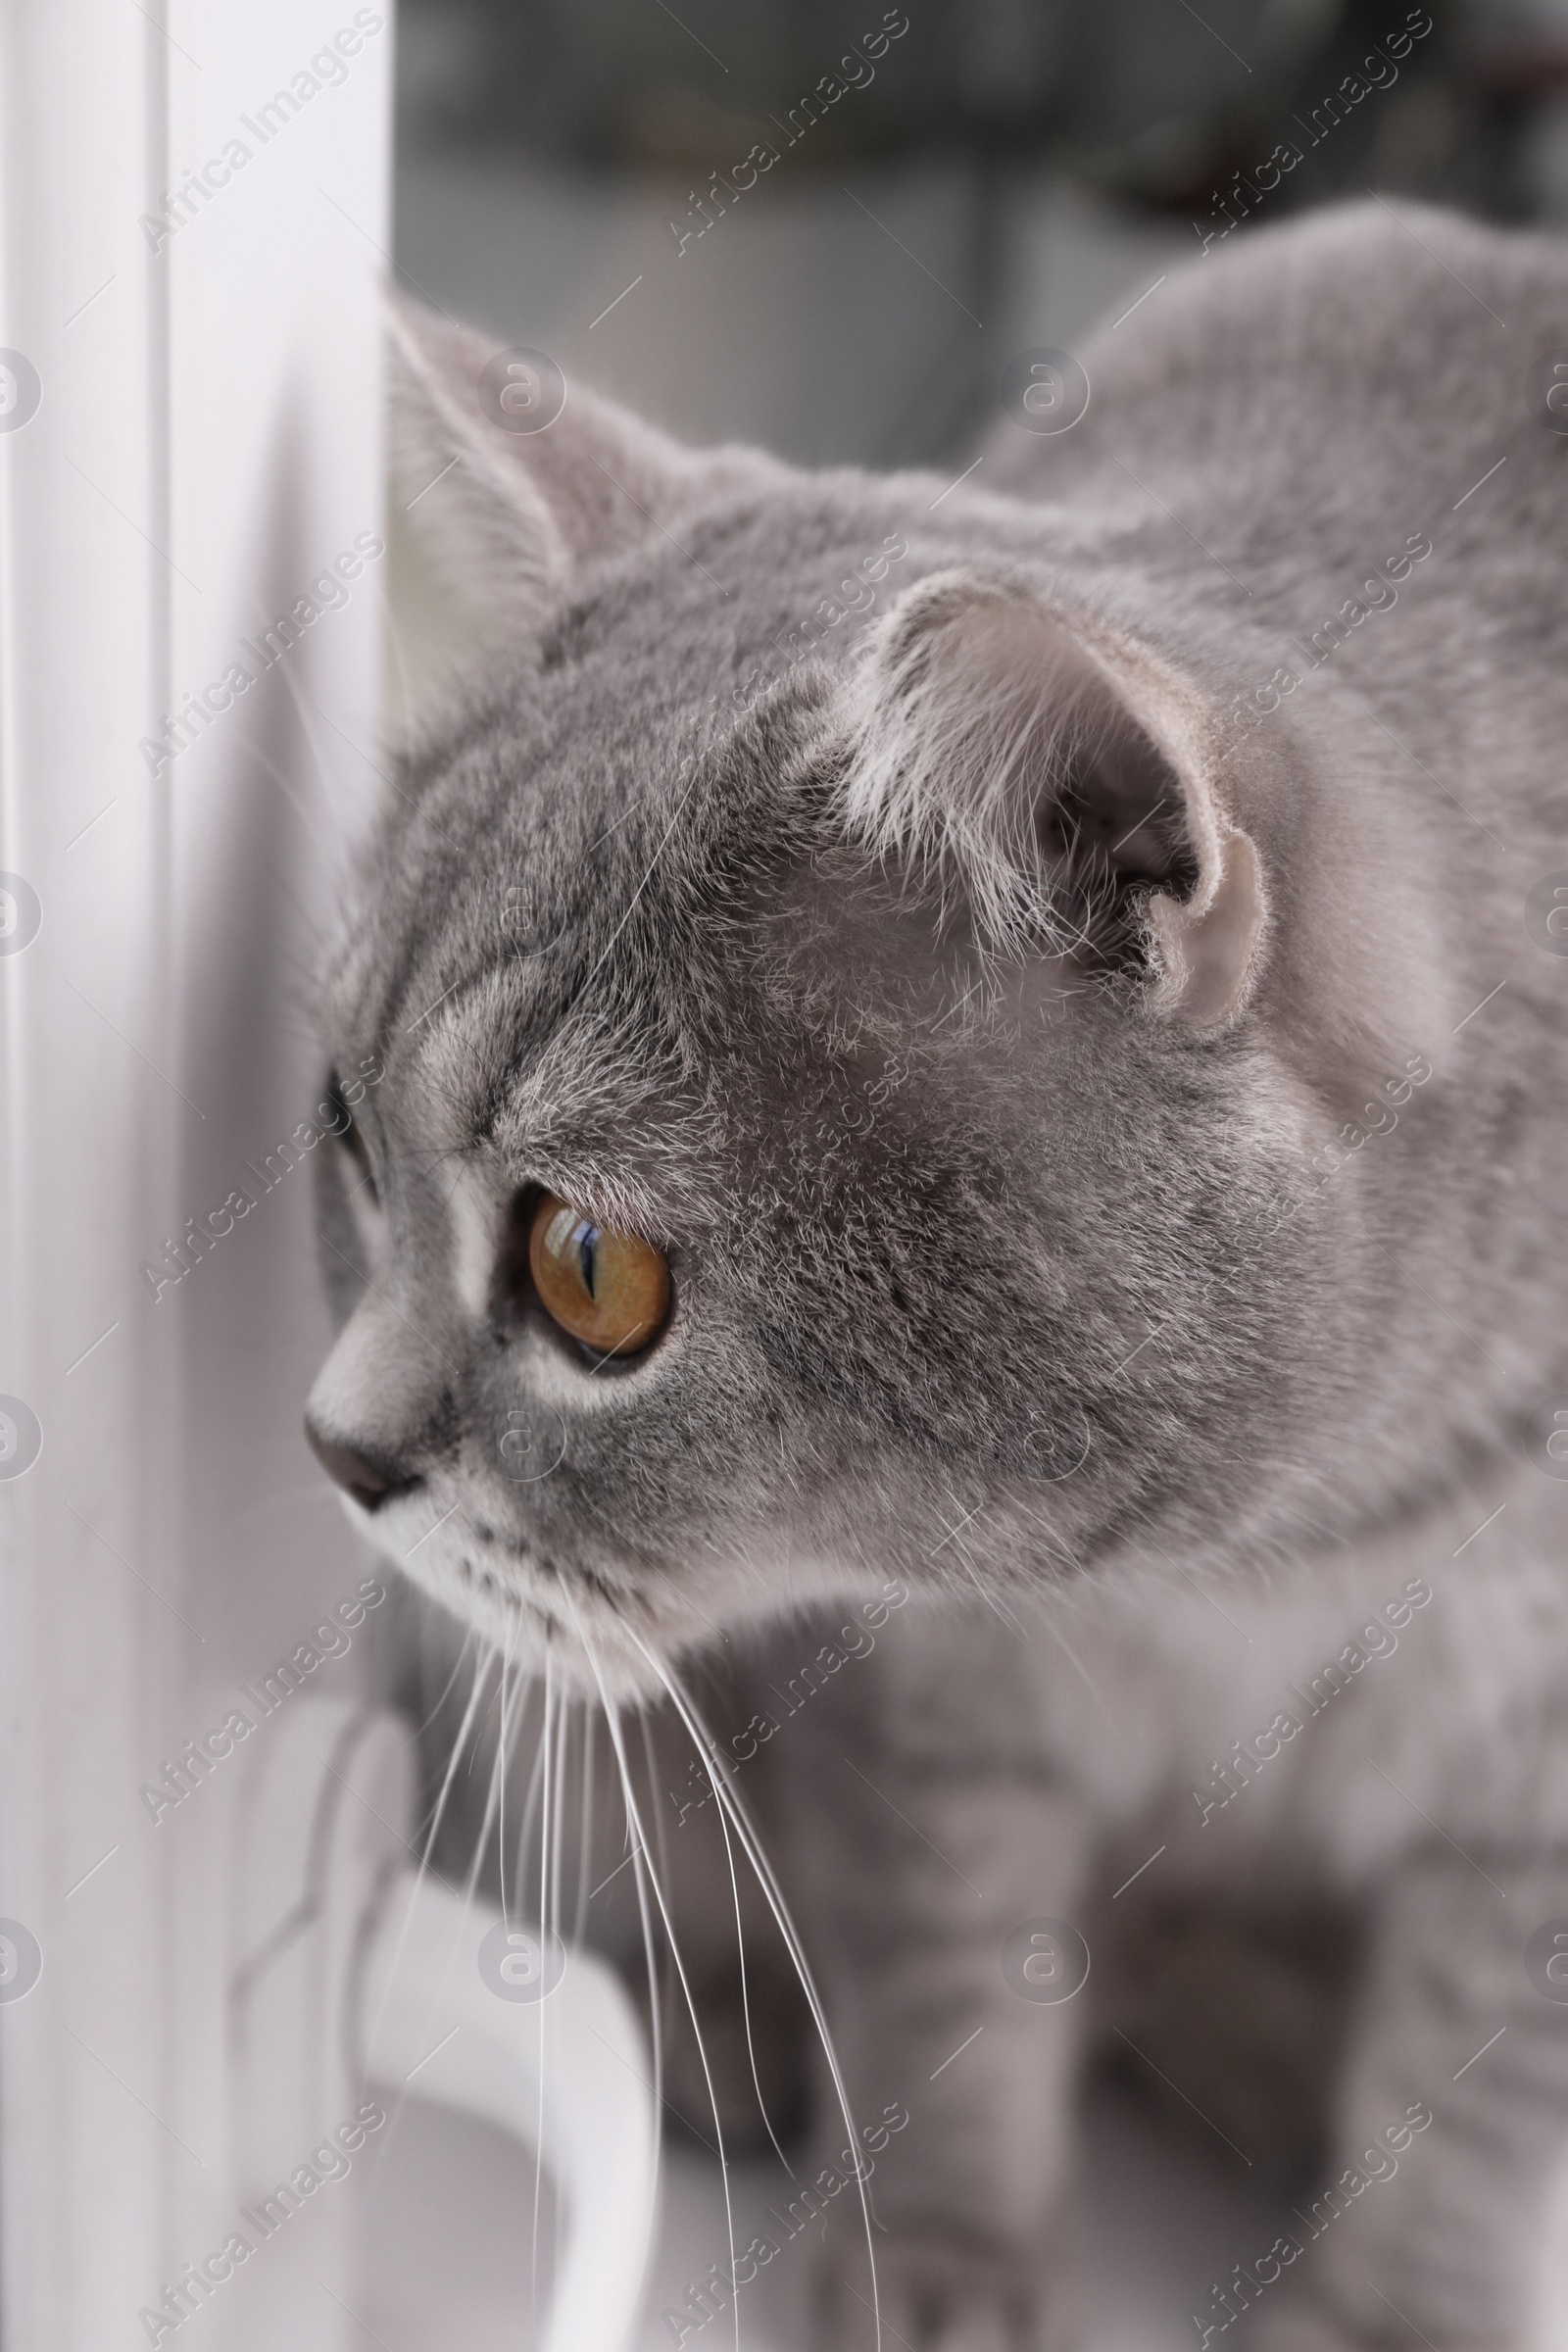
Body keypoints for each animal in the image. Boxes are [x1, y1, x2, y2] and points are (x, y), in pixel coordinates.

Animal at [310, 202, 1568, 2352]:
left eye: (586, 1271)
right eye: (344, 1127)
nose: (334, 1449)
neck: (1274, 1557)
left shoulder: (1538, 1790)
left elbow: (1483, 2090)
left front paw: (1406, 2309)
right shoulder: (915, 1694)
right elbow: (950, 1967)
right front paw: (947, 2255)